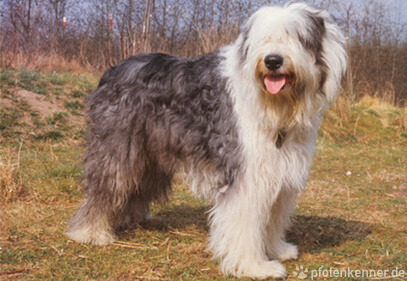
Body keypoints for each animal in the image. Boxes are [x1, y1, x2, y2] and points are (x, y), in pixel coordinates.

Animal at [67, 2, 348, 278]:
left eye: (297, 37)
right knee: (106, 186)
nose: (272, 61)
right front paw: (254, 266)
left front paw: (277, 249)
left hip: (150, 153)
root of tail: (113, 69)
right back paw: (91, 231)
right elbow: (246, 223)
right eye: (263, 39)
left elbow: (273, 218)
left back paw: (131, 217)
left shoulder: (278, 171)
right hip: (117, 146)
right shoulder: (246, 175)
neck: (275, 106)